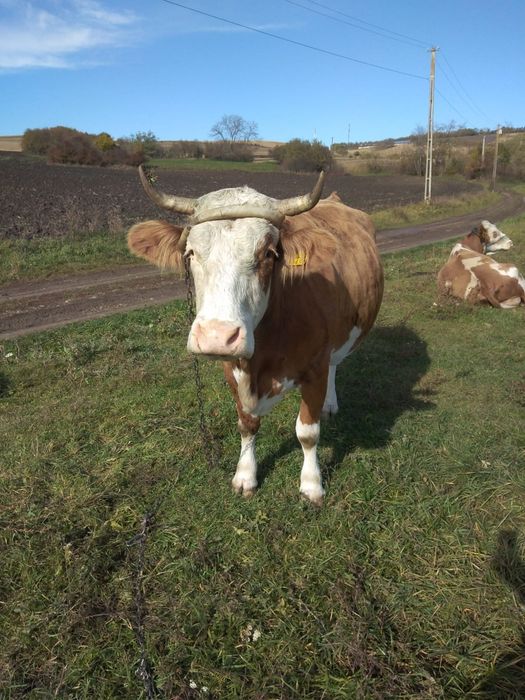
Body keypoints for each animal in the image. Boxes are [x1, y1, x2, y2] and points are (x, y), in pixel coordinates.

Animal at [128, 167, 384, 505]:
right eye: (190, 252)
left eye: (269, 253)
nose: (217, 337)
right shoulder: (232, 369)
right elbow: (247, 424)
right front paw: (245, 475)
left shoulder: (314, 369)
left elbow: (307, 432)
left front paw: (311, 484)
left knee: (334, 364)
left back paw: (329, 404)